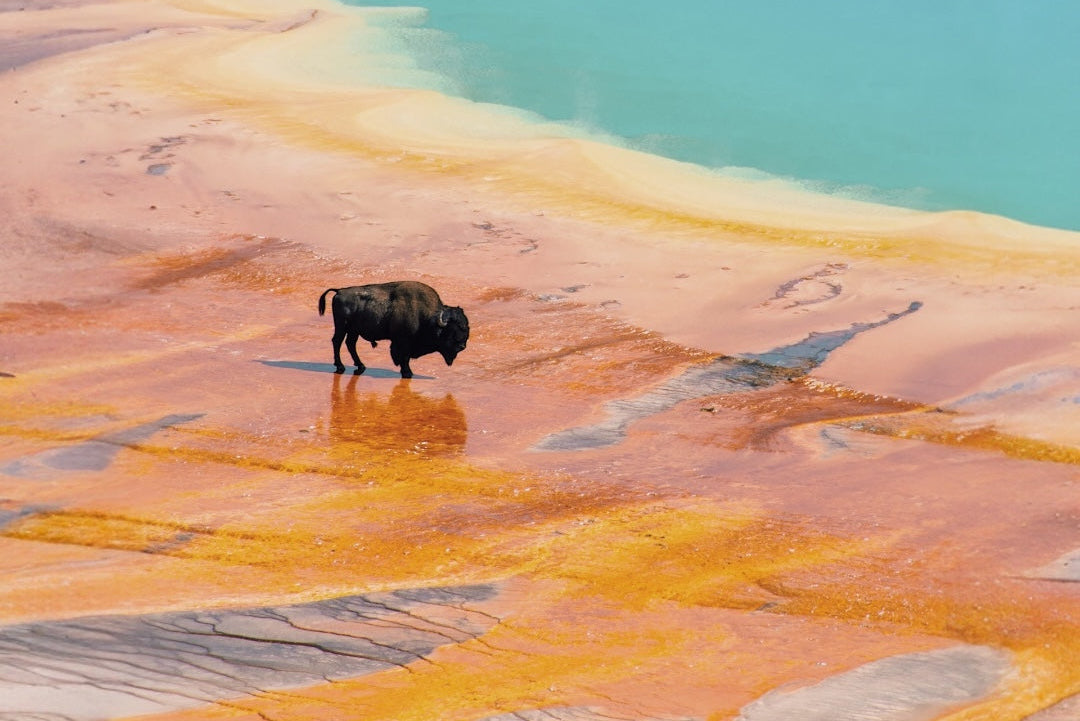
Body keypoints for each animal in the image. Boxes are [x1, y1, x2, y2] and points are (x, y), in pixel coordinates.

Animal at [318, 281, 470, 378]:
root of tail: (339, 291)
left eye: (466, 327)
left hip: (353, 331)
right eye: (452, 330)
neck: (427, 316)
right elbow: (404, 358)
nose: (462, 346)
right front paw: (408, 373)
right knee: (337, 342)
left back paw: (360, 366)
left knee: (350, 344)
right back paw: (340, 367)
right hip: (342, 327)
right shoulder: (402, 342)